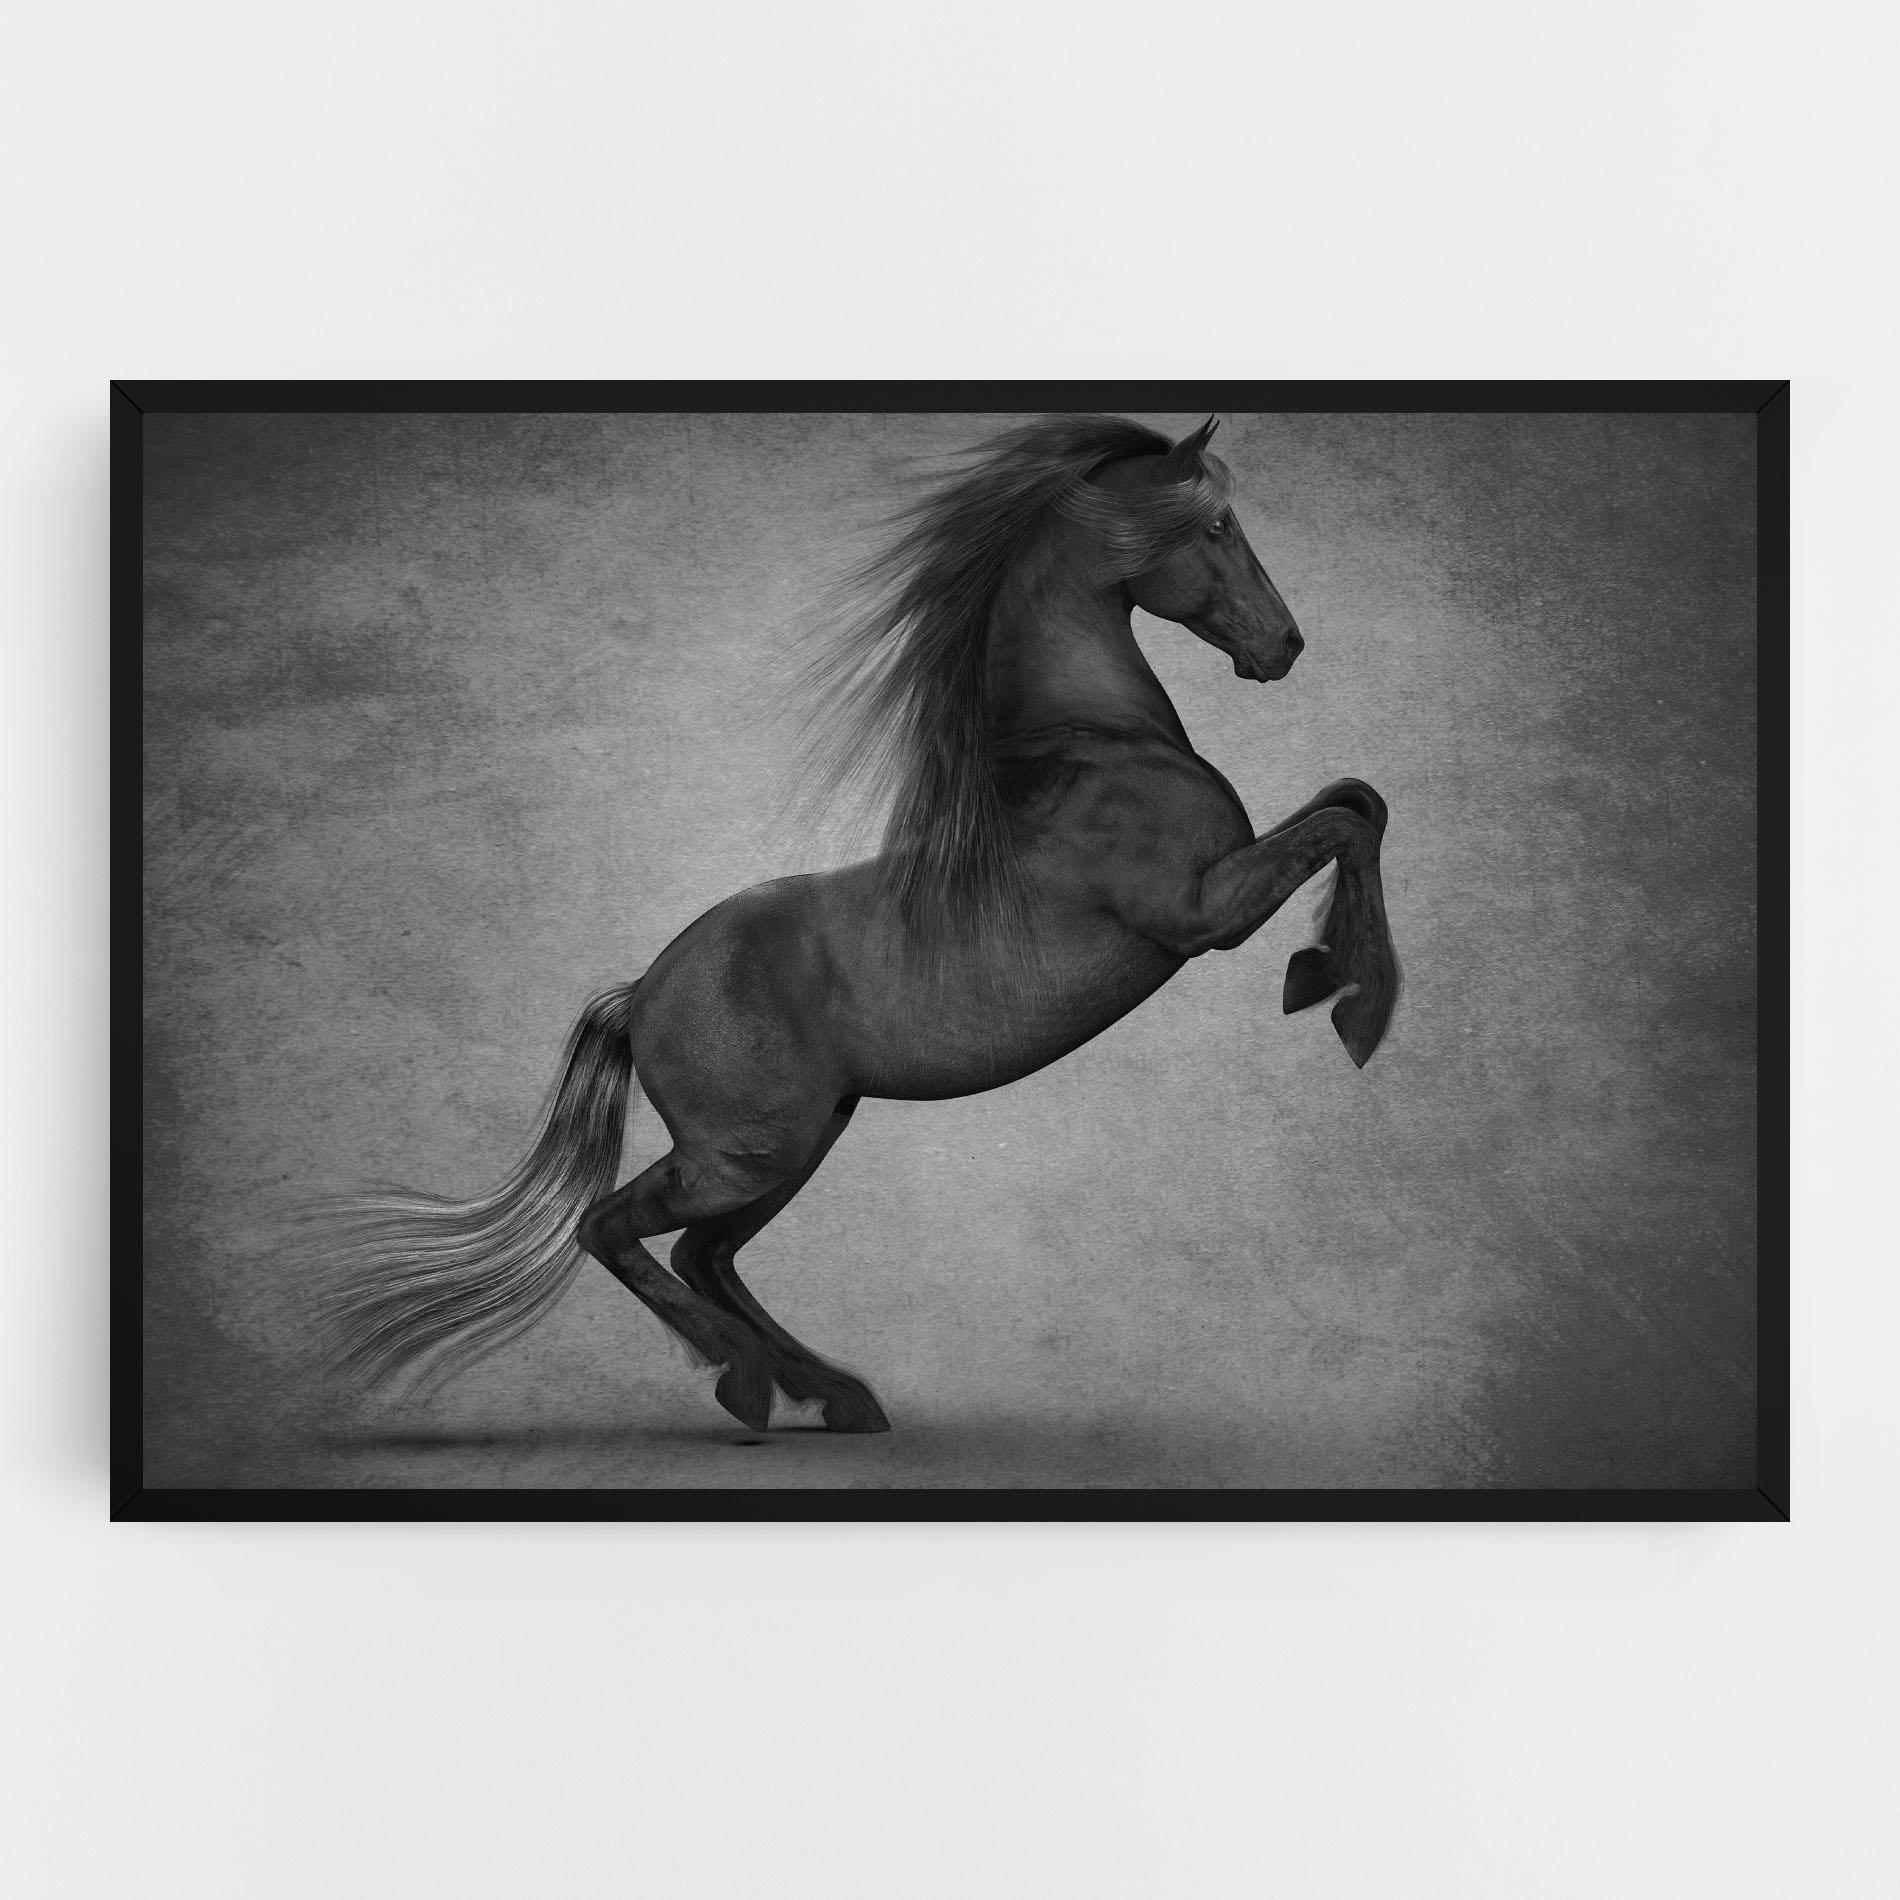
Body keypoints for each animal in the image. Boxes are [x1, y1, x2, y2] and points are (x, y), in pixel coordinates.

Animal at [318, 414, 1400, 1434]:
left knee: (704, 1254)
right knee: (613, 1228)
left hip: (794, 1146)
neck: (1097, 745)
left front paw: (1331, 971)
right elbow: (1344, 820)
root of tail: (641, 993)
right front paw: (1350, 1002)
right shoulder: (1198, 913)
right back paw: (750, 1383)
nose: (1285, 647)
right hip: (745, 1154)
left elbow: (1358, 799)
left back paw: (833, 1394)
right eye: (1215, 525)